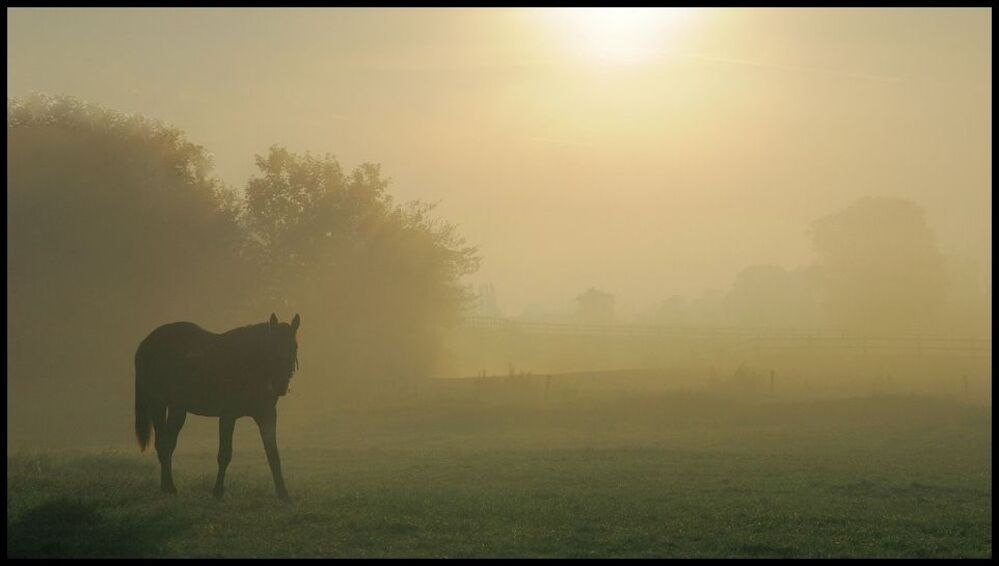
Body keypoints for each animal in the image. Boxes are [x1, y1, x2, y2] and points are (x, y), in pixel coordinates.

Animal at [134, 313, 300, 501]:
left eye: (294, 346)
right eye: (272, 347)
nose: (280, 385)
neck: (249, 364)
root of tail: (146, 343)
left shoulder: (267, 415)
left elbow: (273, 454)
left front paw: (283, 494)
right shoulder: (228, 415)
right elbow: (225, 454)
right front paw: (218, 490)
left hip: (178, 409)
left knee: (168, 444)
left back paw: (168, 486)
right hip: (158, 405)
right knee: (162, 443)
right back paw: (168, 486)